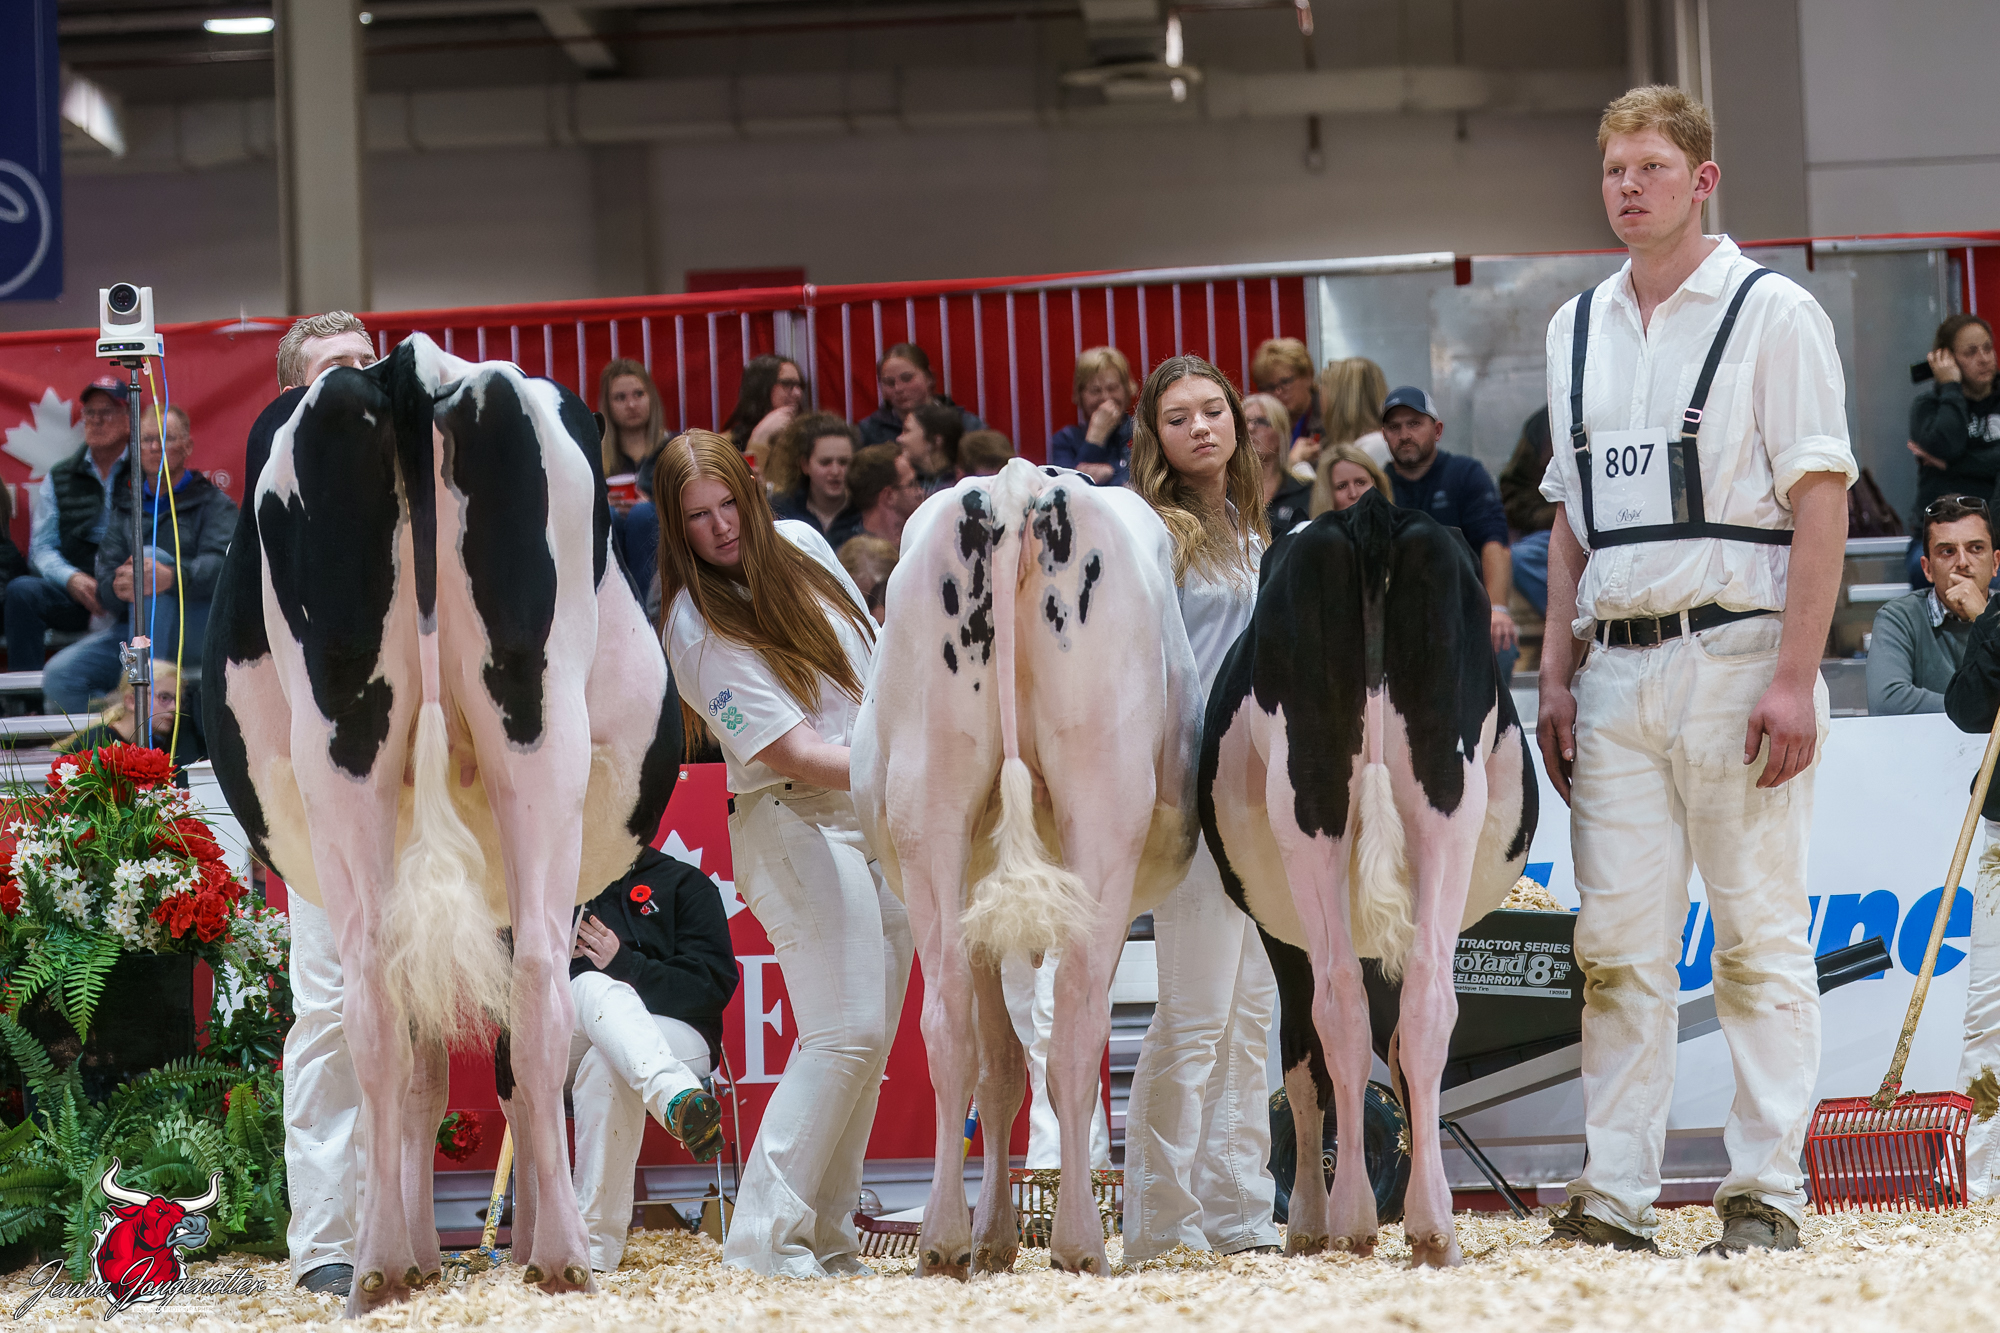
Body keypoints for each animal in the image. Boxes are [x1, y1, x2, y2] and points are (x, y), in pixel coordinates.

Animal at [202, 334, 682, 1313]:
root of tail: (408, 365)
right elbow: (505, 1070)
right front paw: (507, 1237)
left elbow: (429, 1071)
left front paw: (434, 1250)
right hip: (540, 732)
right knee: (536, 997)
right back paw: (559, 1254)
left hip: (349, 733)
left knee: (377, 1009)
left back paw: (382, 1262)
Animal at [851, 458, 1204, 1279]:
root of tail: (1019, 487)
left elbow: (1000, 1064)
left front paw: (991, 1235)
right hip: (1102, 807)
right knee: (1076, 1026)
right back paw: (1079, 1241)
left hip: (929, 803)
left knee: (949, 1022)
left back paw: (944, 1240)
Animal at [1199, 489, 1535, 1268]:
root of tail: (1370, 515)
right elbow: (1399, 1053)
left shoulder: (1279, 933)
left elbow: (1305, 1061)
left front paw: (1306, 1221)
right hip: (1443, 799)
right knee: (1423, 1006)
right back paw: (1425, 1225)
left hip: (1313, 800)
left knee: (1340, 1008)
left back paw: (1353, 1216)